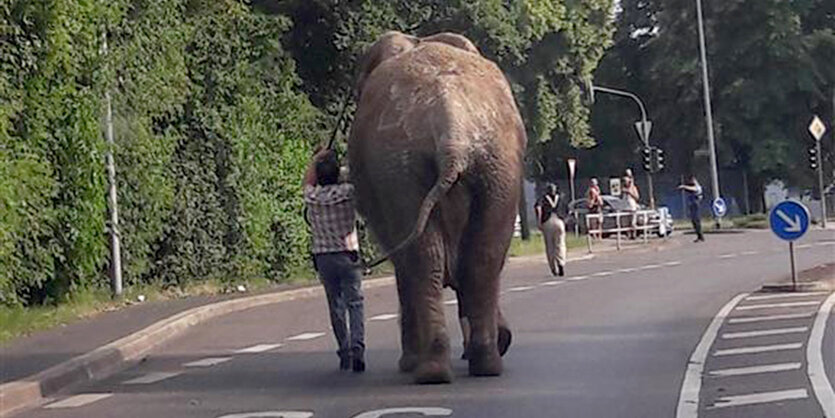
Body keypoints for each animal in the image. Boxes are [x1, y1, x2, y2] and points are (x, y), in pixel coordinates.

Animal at [350, 31, 524, 386]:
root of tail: (452, 129)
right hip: (495, 163)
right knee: (482, 257)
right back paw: (481, 363)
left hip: (401, 166)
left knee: (425, 260)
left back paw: (431, 369)